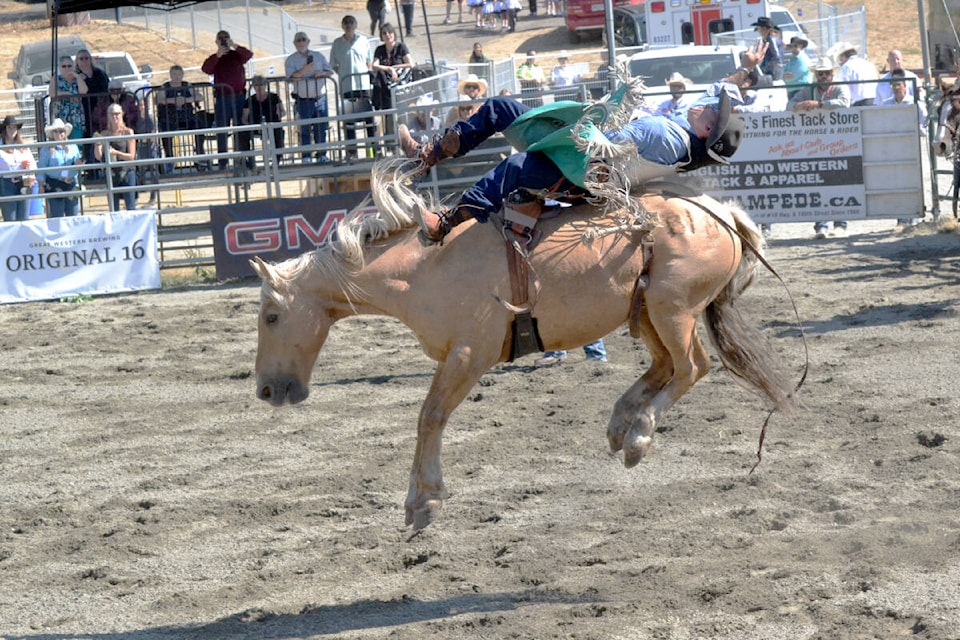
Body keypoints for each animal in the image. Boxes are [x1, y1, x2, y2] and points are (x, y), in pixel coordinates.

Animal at [249, 161, 796, 528]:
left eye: (272, 316)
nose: (266, 392)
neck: (425, 264)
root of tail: (720, 214)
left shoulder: (469, 353)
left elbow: (430, 417)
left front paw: (422, 502)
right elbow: (430, 417)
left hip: (672, 310)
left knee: (691, 367)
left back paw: (639, 434)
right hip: (644, 315)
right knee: (664, 368)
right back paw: (621, 422)